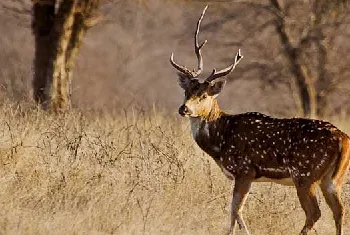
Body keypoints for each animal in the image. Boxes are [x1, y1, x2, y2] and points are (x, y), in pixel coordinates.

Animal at [171, 5, 350, 235]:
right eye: (186, 92)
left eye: (203, 95)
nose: (183, 108)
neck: (220, 141)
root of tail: (343, 139)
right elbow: (234, 212)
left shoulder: (244, 170)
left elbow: (235, 210)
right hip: (333, 179)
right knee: (339, 210)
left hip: (305, 174)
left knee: (315, 213)